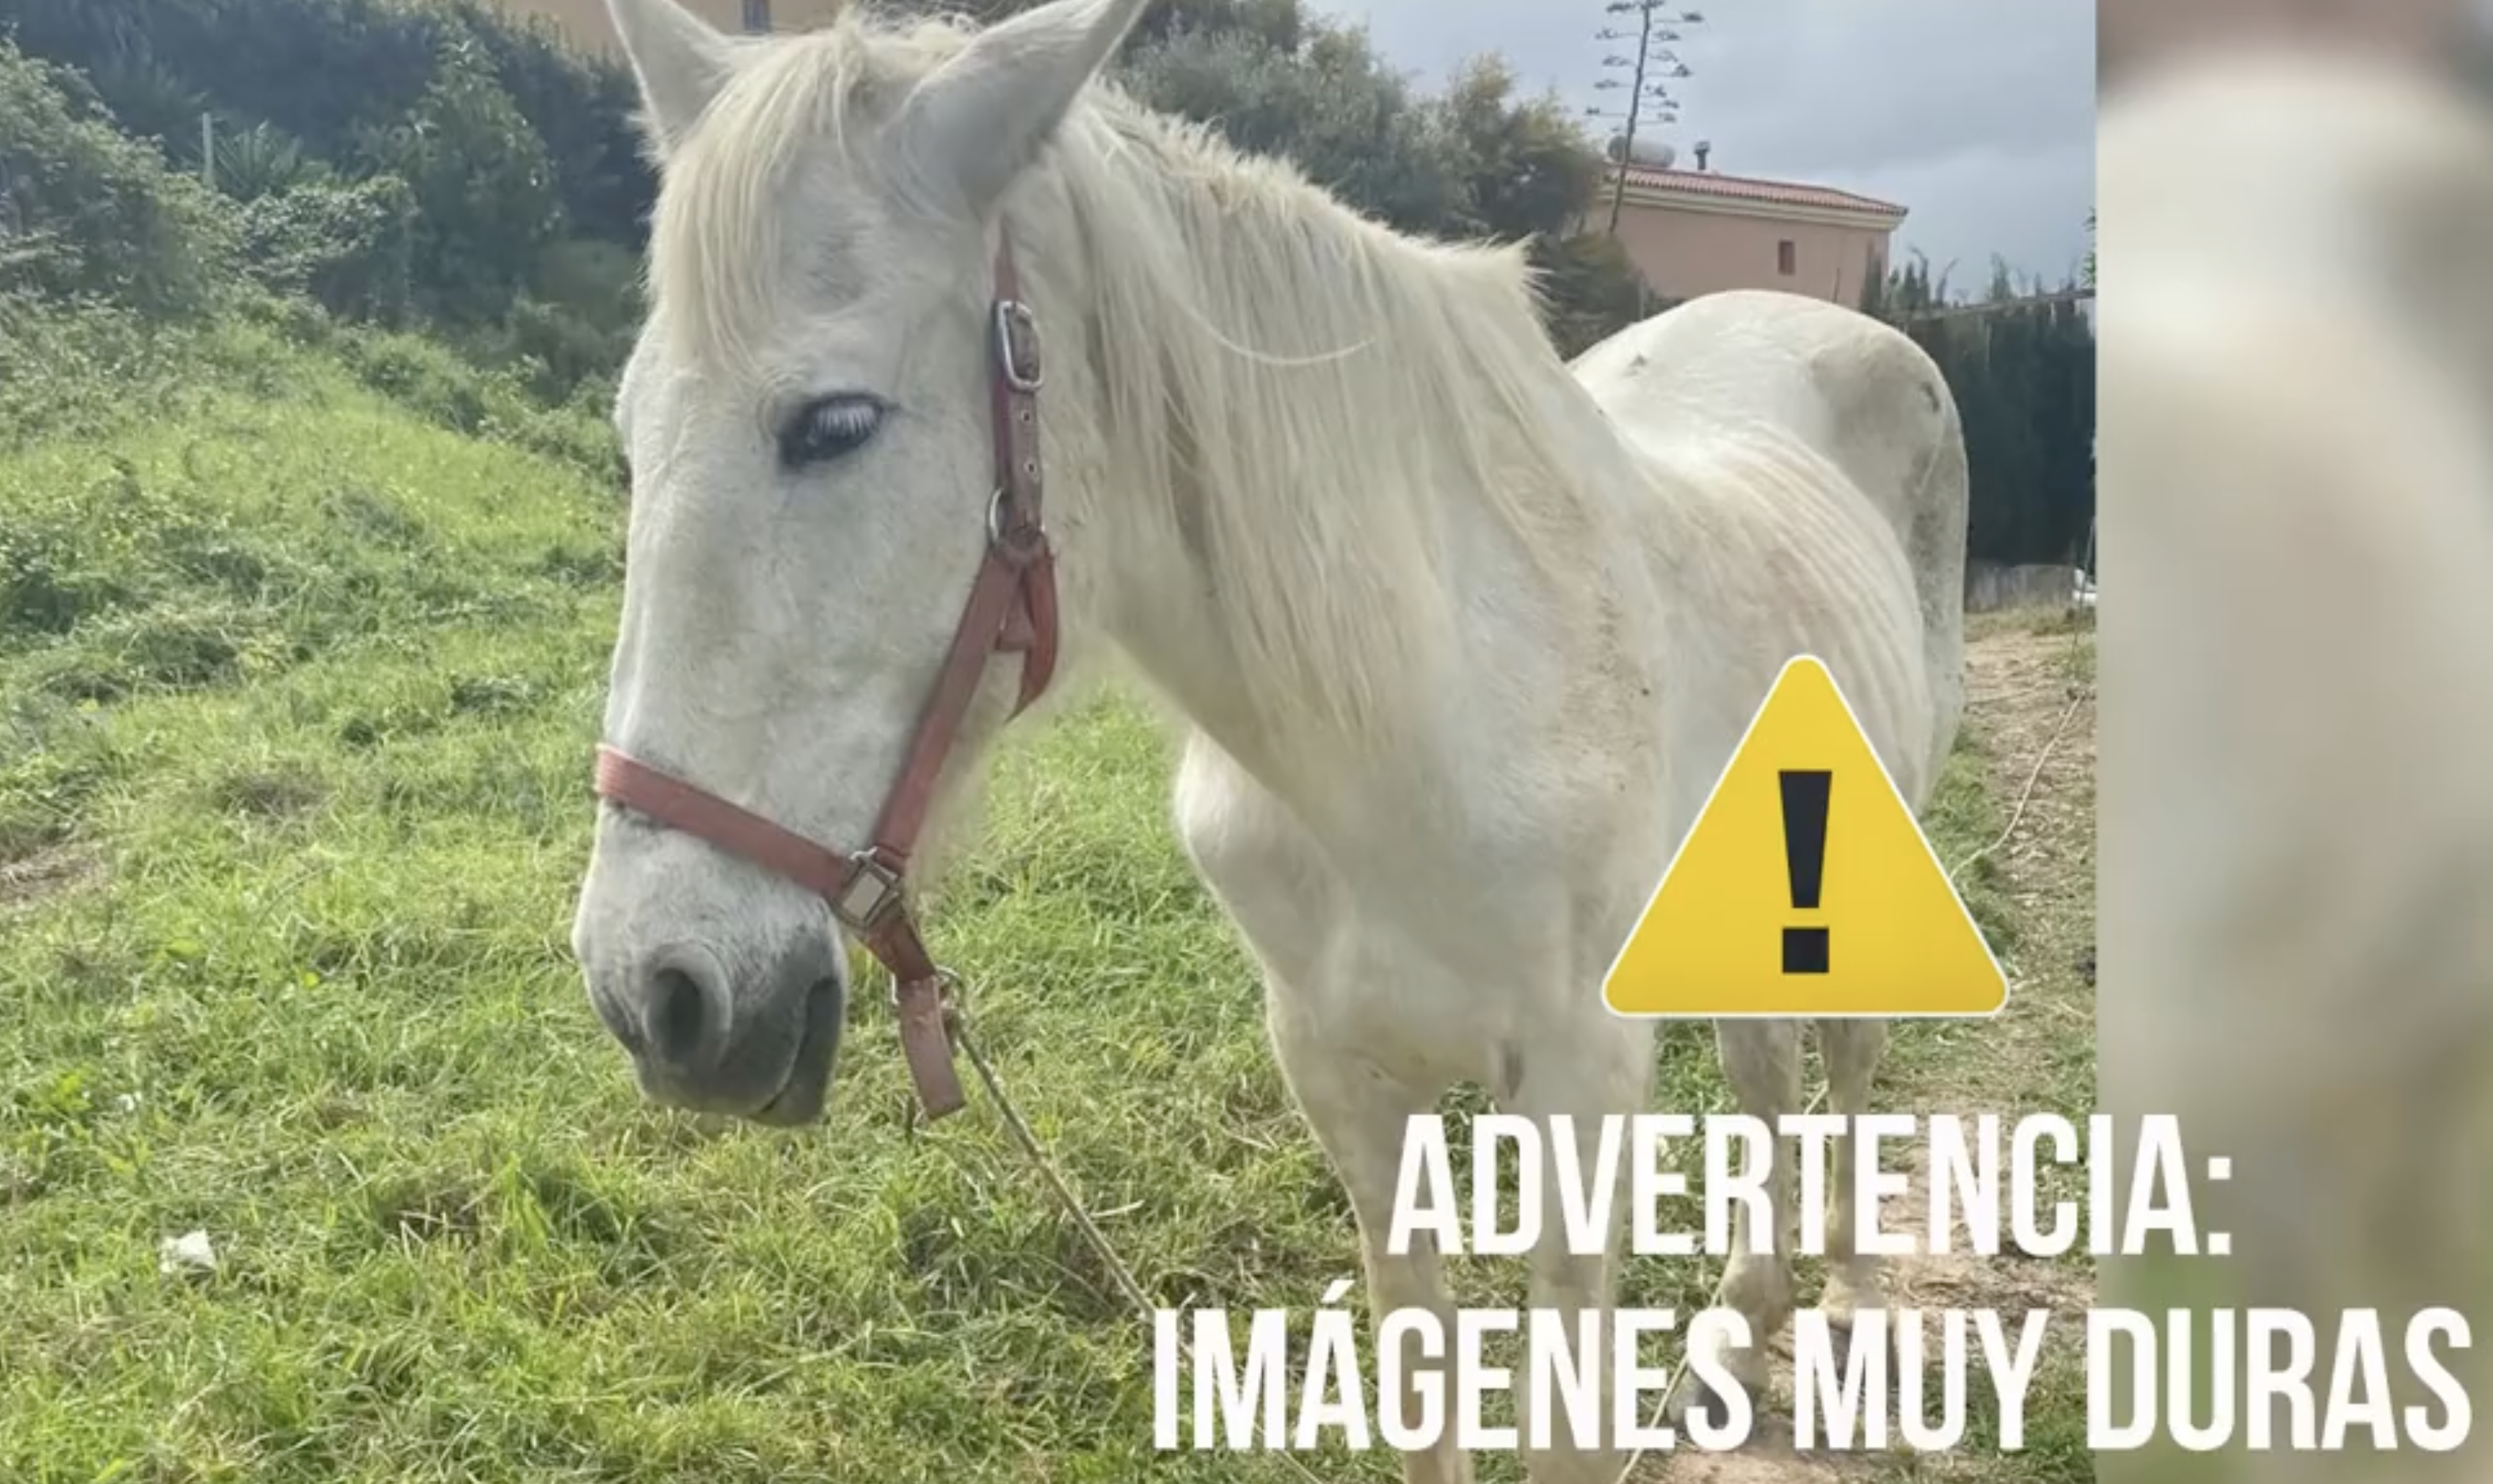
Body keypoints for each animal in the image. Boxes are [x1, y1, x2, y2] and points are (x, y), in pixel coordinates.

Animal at [567, 0, 1970, 1478]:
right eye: (631, 431)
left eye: (833, 423)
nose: (656, 992)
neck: (1414, 723)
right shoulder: (1341, 1077)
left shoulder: (1581, 1091)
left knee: (1843, 1062)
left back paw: (1846, 1309)